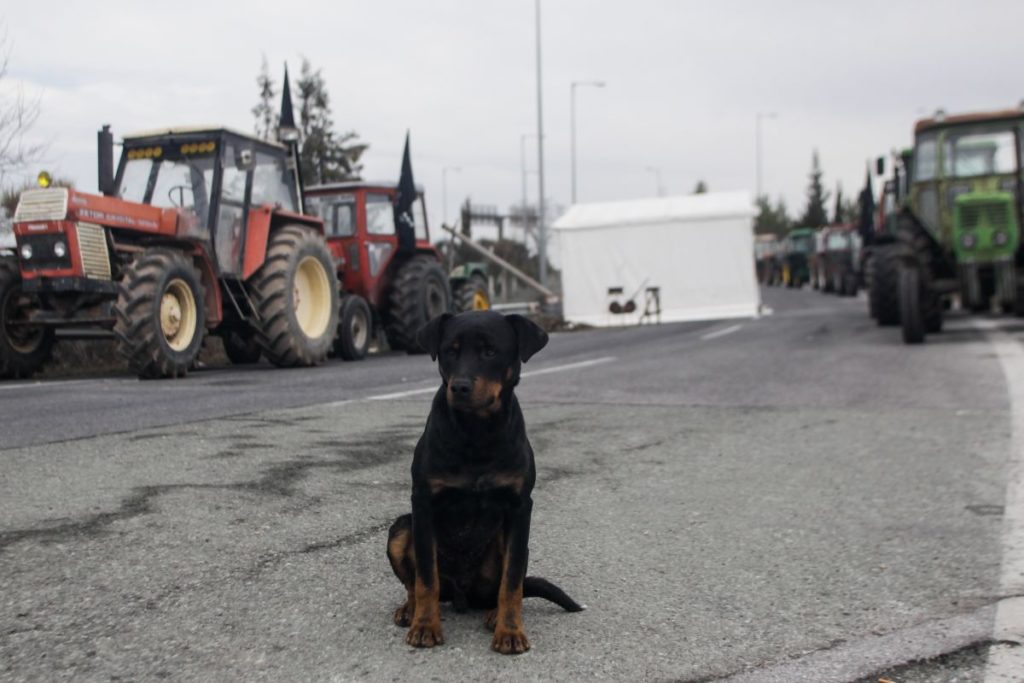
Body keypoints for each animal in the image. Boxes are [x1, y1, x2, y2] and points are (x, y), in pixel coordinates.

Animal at [385, 313, 585, 655]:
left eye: (490, 352)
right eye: (450, 351)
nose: (460, 386)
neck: (476, 432)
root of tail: (462, 595)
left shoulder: (519, 507)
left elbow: (512, 582)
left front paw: (511, 631)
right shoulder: (423, 502)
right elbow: (425, 577)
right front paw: (425, 626)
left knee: (502, 586)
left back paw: (494, 614)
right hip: (401, 528)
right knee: (416, 583)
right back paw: (410, 611)